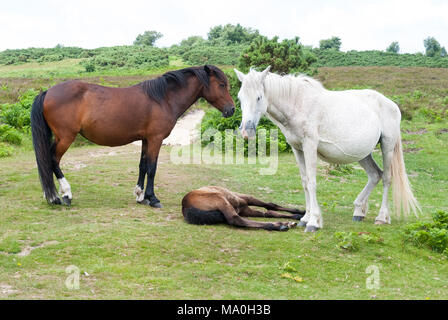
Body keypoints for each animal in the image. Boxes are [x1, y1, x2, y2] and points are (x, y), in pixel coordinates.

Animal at [29, 66, 234, 209]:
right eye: (222, 85)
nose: (231, 109)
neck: (163, 98)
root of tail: (47, 92)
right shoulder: (156, 139)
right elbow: (152, 168)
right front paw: (153, 199)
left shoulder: (145, 139)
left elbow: (143, 166)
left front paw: (140, 196)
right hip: (65, 138)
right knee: (53, 160)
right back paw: (64, 195)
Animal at [234, 67, 420, 232]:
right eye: (240, 97)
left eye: (259, 97)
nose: (246, 132)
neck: (298, 103)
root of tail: (392, 104)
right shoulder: (297, 149)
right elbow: (304, 181)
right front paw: (305, 218)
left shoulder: (310, 146)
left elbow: (311, 182)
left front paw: (313, 222)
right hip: (363, 154)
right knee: (375, 175)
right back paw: (358, 211)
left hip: (387, 146)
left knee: (387, 178)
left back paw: (381, 217)